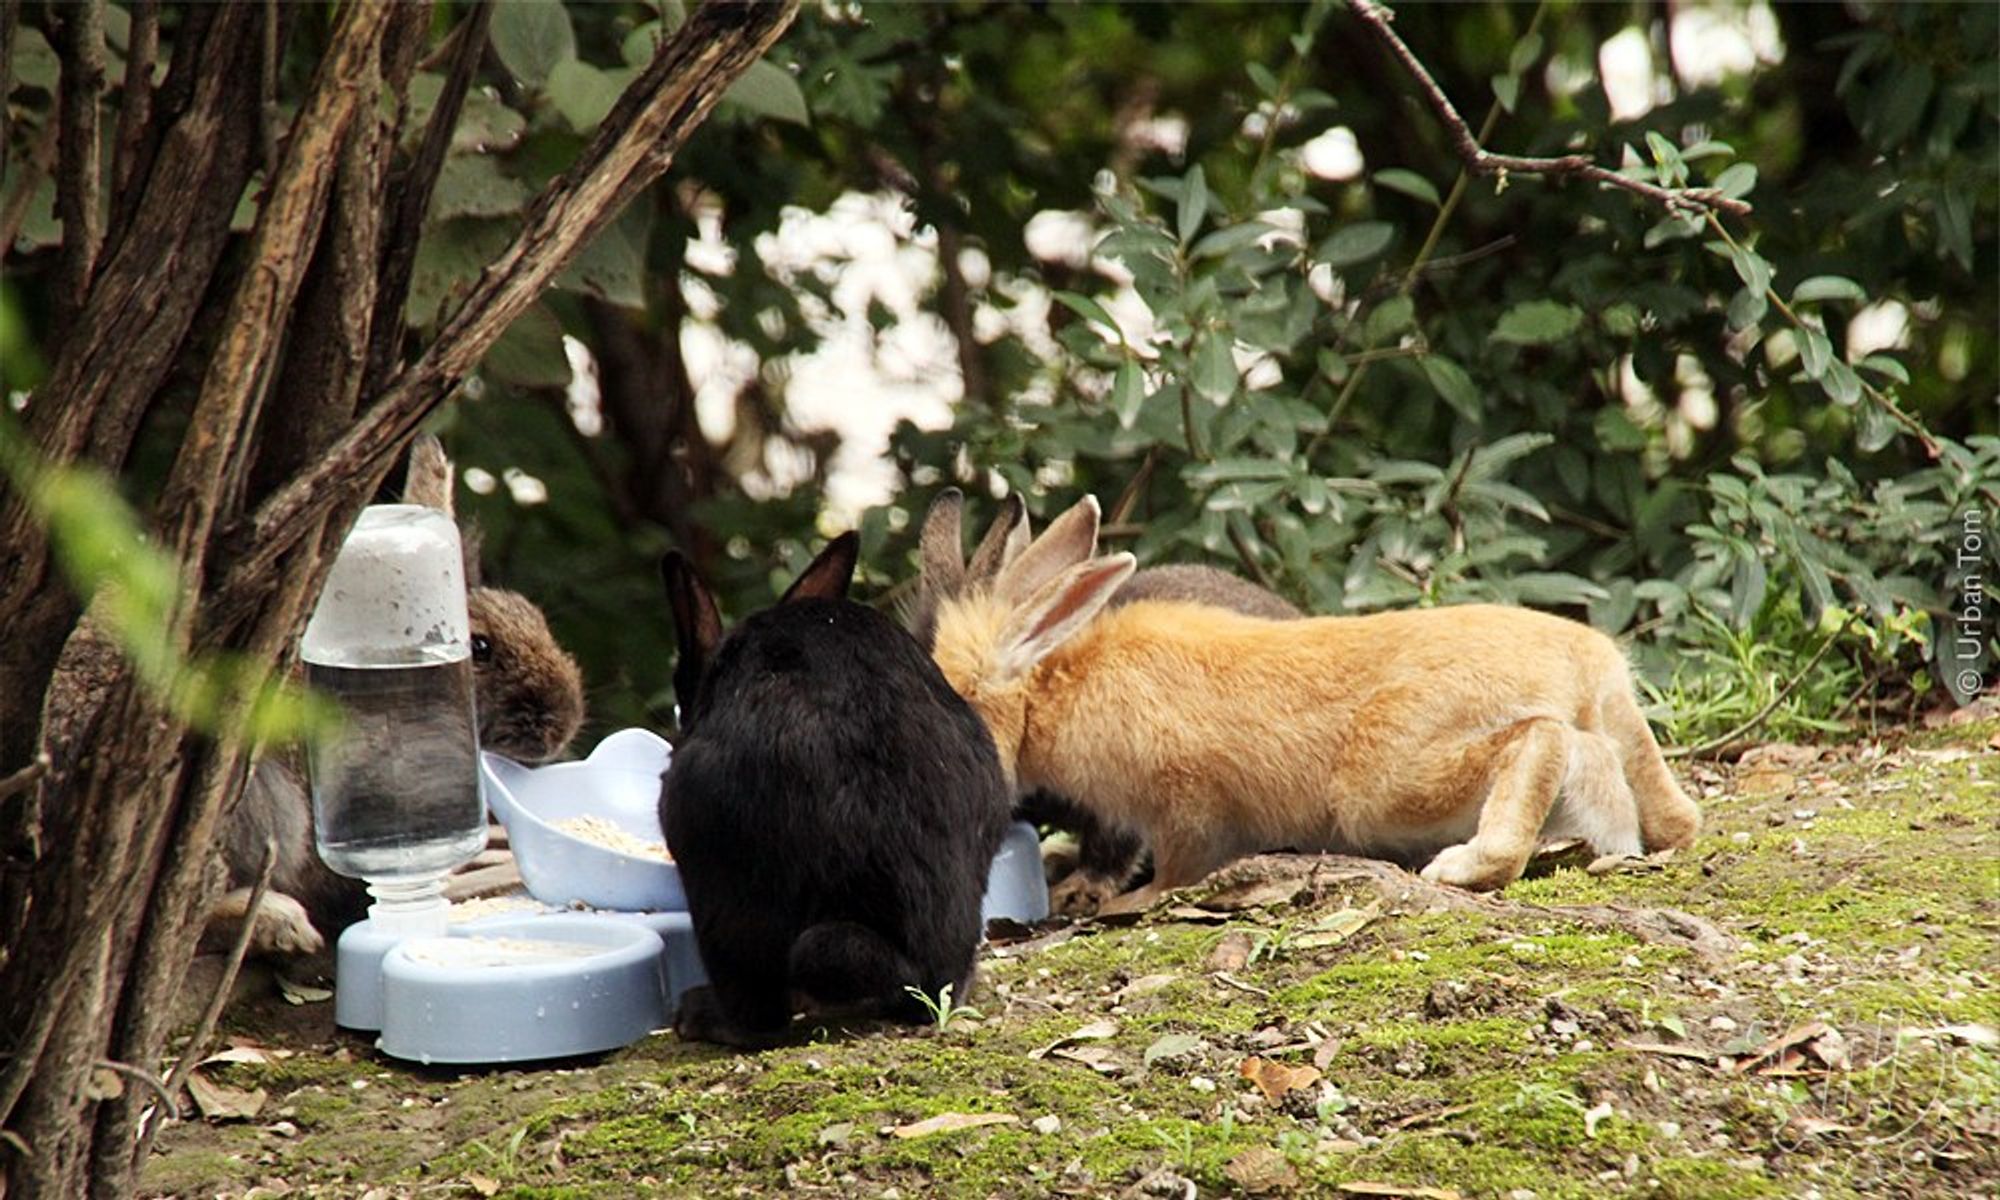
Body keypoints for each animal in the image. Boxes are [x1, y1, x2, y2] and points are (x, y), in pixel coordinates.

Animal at [928, 492, 1696, 916]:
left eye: (957, 693)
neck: (1050, 688)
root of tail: (1587, 666)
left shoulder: (1183, 803)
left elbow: (1179, 863)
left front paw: (1130, 902)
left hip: (1381, 786)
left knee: (1539, 740)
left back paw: (1468, 864)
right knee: (1654, 805)